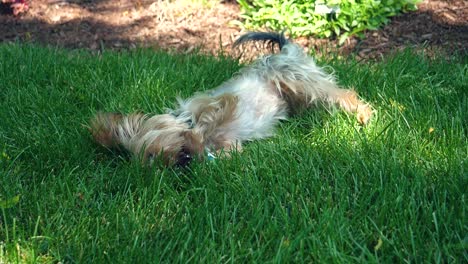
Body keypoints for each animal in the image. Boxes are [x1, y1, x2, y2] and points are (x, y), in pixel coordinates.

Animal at [89, 31, 372, 167]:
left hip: (294, 77)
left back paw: (364, 114)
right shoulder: (227, 142)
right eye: (156, 163)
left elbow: (213, 111)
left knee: (341, 93)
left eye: (151, 154)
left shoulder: (214, 103)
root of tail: (283, 49)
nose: (179, 164)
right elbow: (228, 148)